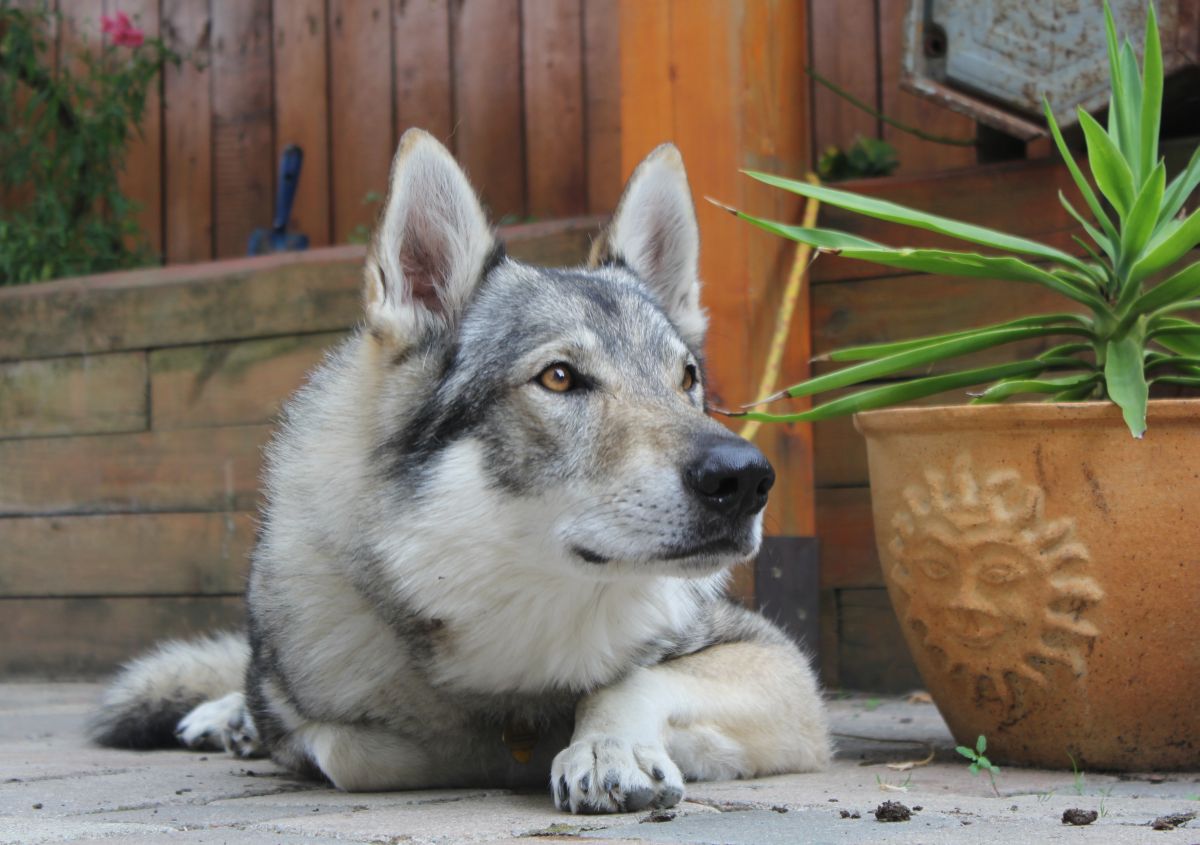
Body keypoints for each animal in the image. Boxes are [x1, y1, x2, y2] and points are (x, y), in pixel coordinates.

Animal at [88, 130, 830, 811]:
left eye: (686, 380)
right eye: (559, 377)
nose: (745, 478)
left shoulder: (779, 665)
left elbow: (632, 680)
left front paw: (605, 745)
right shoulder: (330, 724)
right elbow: (354, 750)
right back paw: (228, 718)